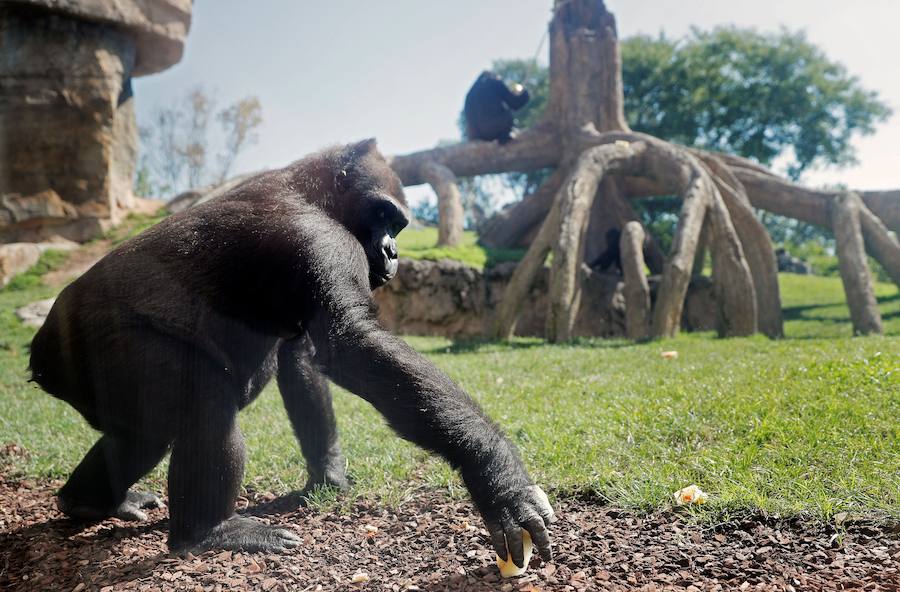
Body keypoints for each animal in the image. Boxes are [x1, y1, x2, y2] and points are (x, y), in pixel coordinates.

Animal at [29, 140, 556, 568]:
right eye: (385, 218)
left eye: (399, 227)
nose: (392, 253)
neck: (307, 188)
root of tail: (39, 358)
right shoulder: (320, 239)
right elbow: (351, 347)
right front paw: (498, 479)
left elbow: (302, 359)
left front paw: (327, 475)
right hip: (88, 350)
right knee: (204, 405)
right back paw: (206, 533)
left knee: (142, 436)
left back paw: (89, 502)